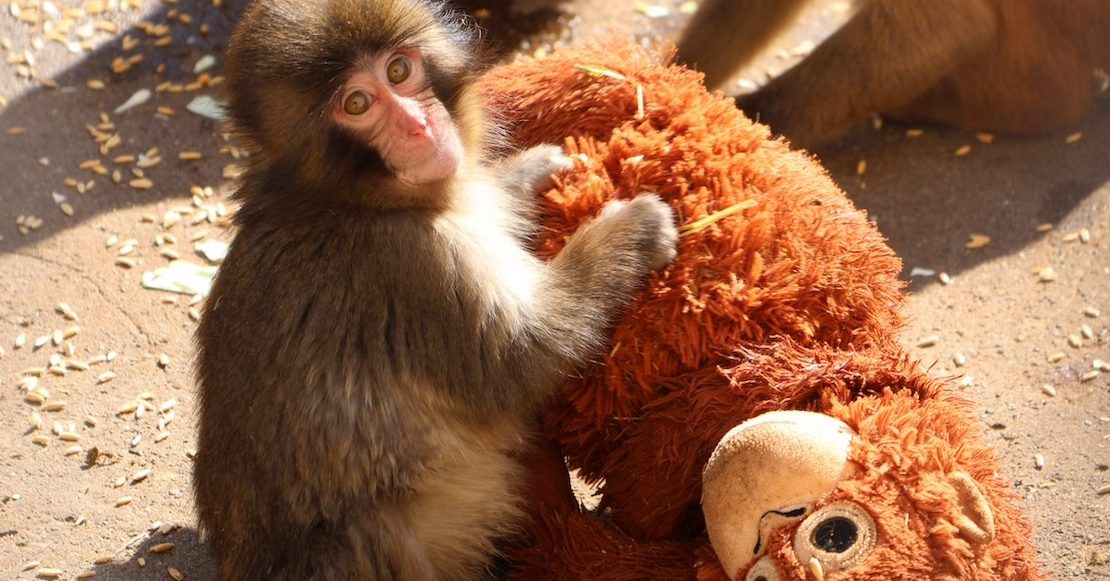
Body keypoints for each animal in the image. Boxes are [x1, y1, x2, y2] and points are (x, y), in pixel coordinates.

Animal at [191, 0, 678, 579]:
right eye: (357, 104)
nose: (419, 126)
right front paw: (631, 230)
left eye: (399, 71)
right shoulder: (411, 264)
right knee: (367, 533)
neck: (346, 200)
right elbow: (520, 360)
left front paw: (528, 172)